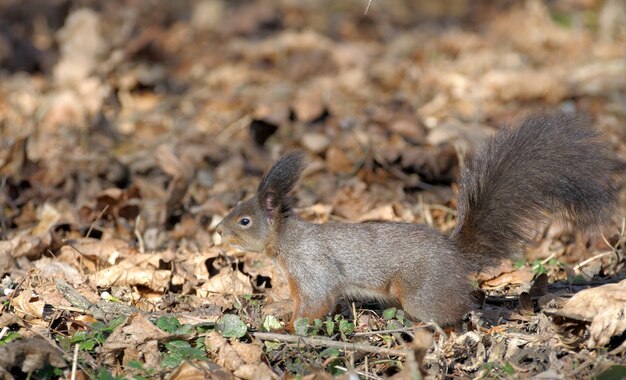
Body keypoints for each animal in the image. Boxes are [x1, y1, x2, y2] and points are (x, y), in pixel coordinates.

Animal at [216, 111, 624, 332]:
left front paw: (289, 327)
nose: (218, 230)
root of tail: (456, 256)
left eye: (245, 220)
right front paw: (280, 314)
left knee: (456, 311)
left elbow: (316, 302)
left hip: (418, 291)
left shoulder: (313, 269)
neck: (288, 240)